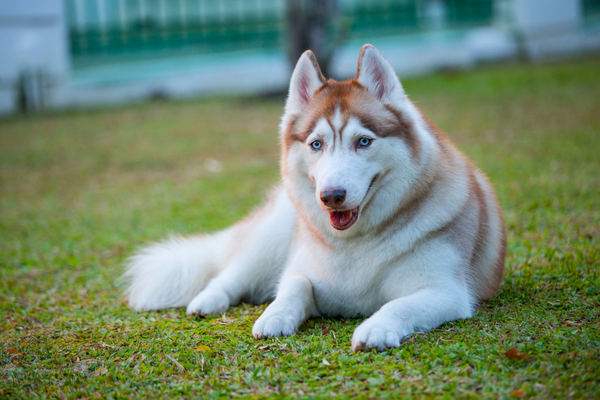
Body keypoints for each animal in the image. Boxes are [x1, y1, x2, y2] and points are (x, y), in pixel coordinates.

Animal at [123, 44, 506, 350]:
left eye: (363, 141)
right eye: (316, 144)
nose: (331, 196)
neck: (356, 244)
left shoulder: (446, 293)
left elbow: (399, 304)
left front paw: (376, 327)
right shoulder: (301, 269)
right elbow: (294, 286)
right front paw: (275, 315)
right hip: (270, 238)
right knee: (230, 275)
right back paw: (207, 300)